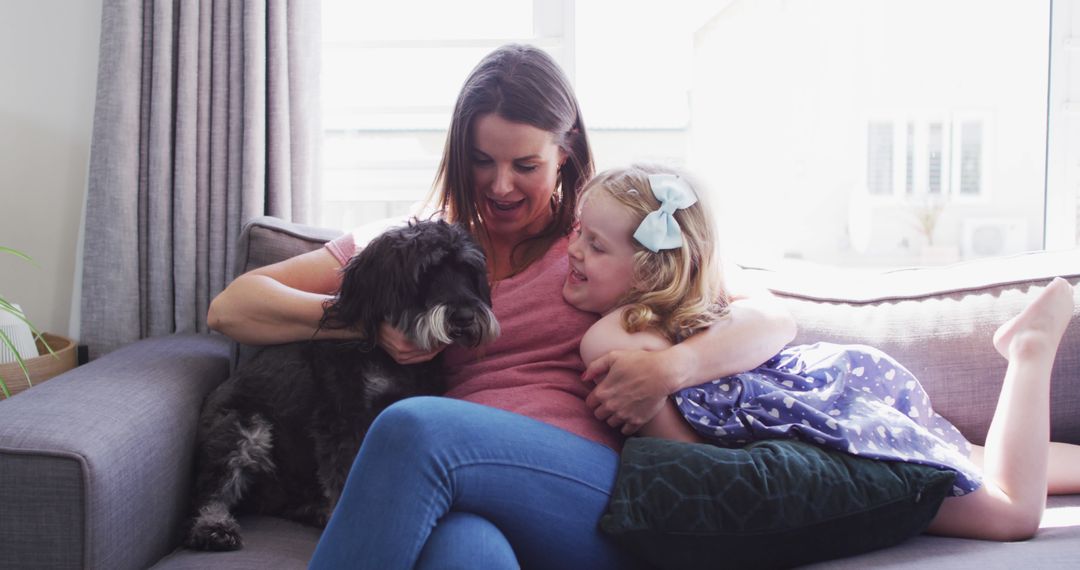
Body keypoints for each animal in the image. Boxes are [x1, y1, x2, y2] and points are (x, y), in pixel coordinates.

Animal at [186, 218, 501, 548]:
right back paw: (214, 527)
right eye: (425, 273)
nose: (465, 317)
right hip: (240, 428)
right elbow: (345, 474)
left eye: (468, 271)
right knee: (210, 491)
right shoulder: (342, 419)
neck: (387, 356)